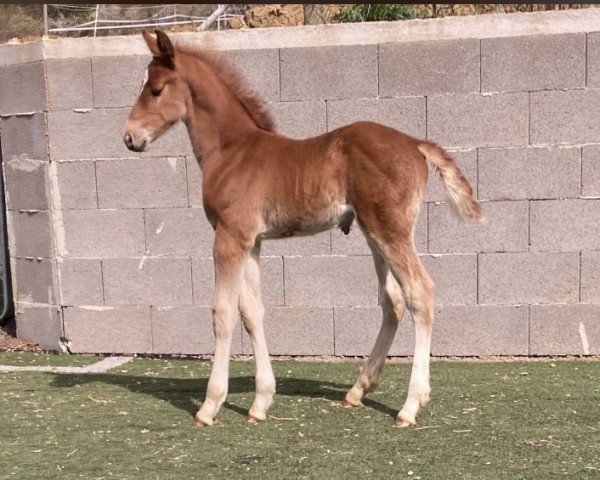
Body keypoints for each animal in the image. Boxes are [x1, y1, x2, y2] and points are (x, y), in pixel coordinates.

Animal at [123, 30, 482, 428]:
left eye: (155, 89)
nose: (130, 137)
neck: (231, 150)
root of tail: (415, 144)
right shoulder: (251, 242)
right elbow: (252, 313)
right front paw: (261, 402)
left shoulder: (229, 237)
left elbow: (223, 313)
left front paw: (210, 405)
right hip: (374, 233)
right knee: (393, 301)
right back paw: (358, 390)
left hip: (390, 230)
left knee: (421, 292)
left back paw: (410, 405)